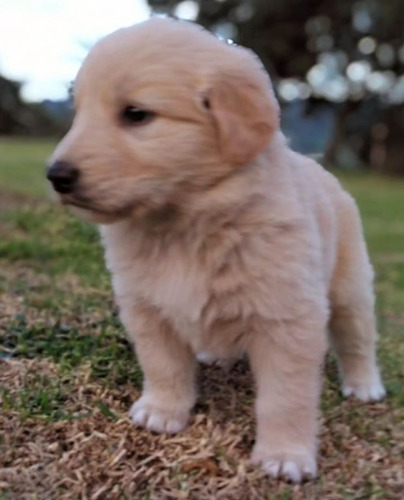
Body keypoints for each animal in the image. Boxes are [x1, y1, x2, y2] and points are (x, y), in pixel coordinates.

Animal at [47, 17, 386, 482]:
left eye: (136, 114)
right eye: (78, 112)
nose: (55, 175)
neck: (184, 225)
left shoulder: (288, 321)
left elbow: (285, 398)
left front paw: (286, 454)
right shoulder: (146, 308)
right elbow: (163, 365)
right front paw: (162, 411)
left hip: (349, 288)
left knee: (357, 339)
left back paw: (364, 384)